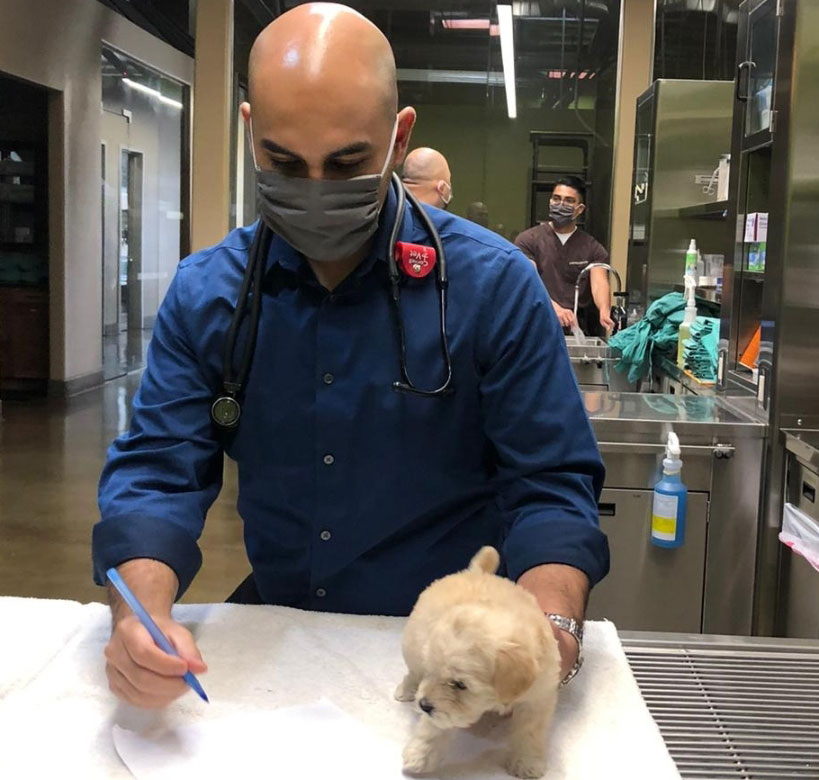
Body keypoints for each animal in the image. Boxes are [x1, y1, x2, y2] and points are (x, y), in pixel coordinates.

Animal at [394, 544, 560, 776]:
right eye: (432, 672)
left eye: (459, 684)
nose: (424, 705)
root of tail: (475, 571)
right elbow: (433, 729)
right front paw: (419, 756)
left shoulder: (539, 698)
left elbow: (530, 732)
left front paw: (527, 763)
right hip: (412, 645)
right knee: (412, 671)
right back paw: (405, 690)